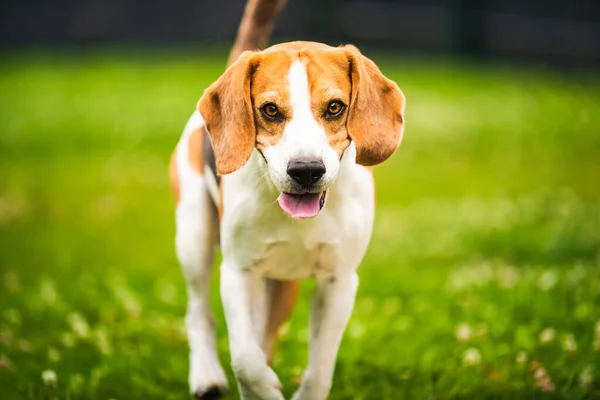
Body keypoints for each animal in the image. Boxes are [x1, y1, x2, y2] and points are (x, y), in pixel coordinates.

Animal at [169, 0, 404, 396]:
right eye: (270, 110)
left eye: (335, 107)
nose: (306, 170)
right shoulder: (238, 272)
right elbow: (245, 360)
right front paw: (262, 389)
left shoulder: (339, 280)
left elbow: (320, 367)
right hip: (194, 238)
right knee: (199, 313)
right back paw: (207, 376)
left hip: (282, 285)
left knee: (265, 332)